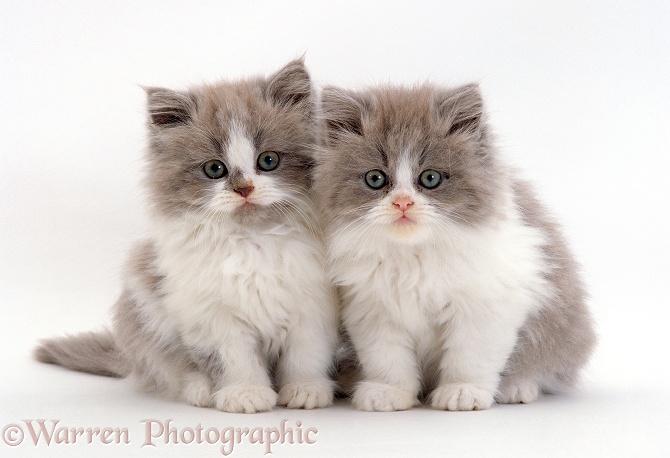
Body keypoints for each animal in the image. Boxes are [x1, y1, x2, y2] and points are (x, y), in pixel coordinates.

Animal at [33, 59, 338, 414]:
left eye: (268, 160)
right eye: (215, 169)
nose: (244, 189)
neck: (252, 241)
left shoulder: (311, 308)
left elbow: (305, 357)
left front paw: (305, 391)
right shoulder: (213, 318)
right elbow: (235, 361)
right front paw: (244, 394)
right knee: (175, 370)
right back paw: (201, 391)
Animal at [320, 82, 600, 412]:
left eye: (430, 178)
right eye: (375, 179)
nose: (403, 203)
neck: (414, 256)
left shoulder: (488, 303)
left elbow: (470, 355)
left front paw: (463, 391)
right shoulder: (372, 309)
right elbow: (388, 358)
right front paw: (389, 393)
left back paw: (517, 387)